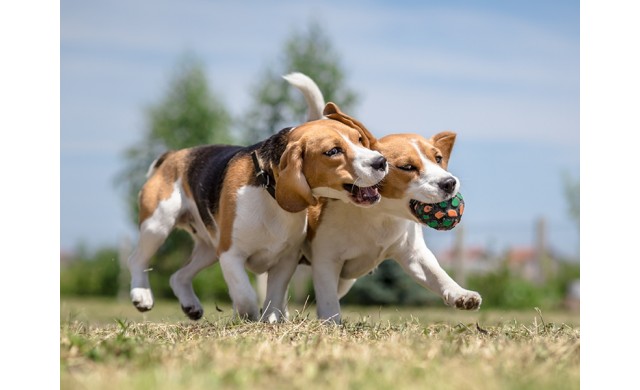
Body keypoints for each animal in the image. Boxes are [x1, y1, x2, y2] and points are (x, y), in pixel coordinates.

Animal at [127, 90, 388, 322]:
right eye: (333, 151)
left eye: (359, 140)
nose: (381, 161)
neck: (269, 194)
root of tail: (173, 155)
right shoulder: (230, 254)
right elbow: (246, 295)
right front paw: (248, 316)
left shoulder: (286, 259)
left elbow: (274, 296)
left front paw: (271, 320)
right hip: (158, 224)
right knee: (137, 259)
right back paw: (141, 295)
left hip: (209, 248)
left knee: (178, 276)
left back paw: (190, 305)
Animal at [284, 72, 480, 322]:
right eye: (407, 167)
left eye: (438, 158)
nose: (449, 182)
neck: (379, 215)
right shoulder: (326, 261)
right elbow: (327, 300)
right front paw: (331, 323)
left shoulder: (414, 254)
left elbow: (437, 273)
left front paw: (460, 294)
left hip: (346, 280)